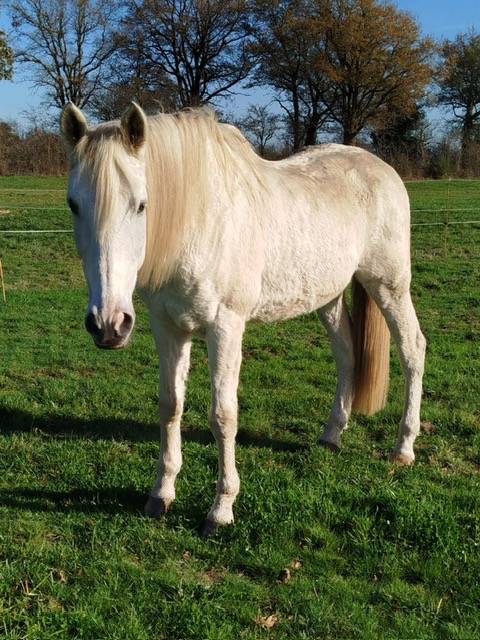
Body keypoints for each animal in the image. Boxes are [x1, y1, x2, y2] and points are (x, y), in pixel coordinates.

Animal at [60, 102, 426, 536]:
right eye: (74, 205)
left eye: (141, 204)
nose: (108, 324)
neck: (199, 222)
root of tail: (381, 169)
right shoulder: (168, 327)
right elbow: (170, 405)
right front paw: (161, 494)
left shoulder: (225, 327)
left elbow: (223, 415)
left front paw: (221, 509)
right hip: (329, 296)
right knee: (347, 355)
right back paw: (332, 435)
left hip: (389, 285)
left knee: (412, 350)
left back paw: (404, 447)